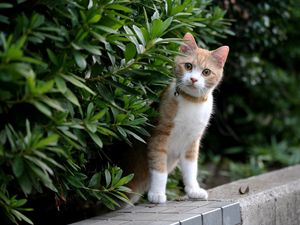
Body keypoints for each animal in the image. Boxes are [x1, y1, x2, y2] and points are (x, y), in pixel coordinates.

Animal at [146, 33, 229, 204]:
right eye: (188, 66)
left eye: (206, 72)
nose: (193, 79)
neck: (192, 102)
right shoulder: (159, 135)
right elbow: (159, 166)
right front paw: (157, 193)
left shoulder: (192, 140)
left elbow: (191, 168)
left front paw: (193, 190)